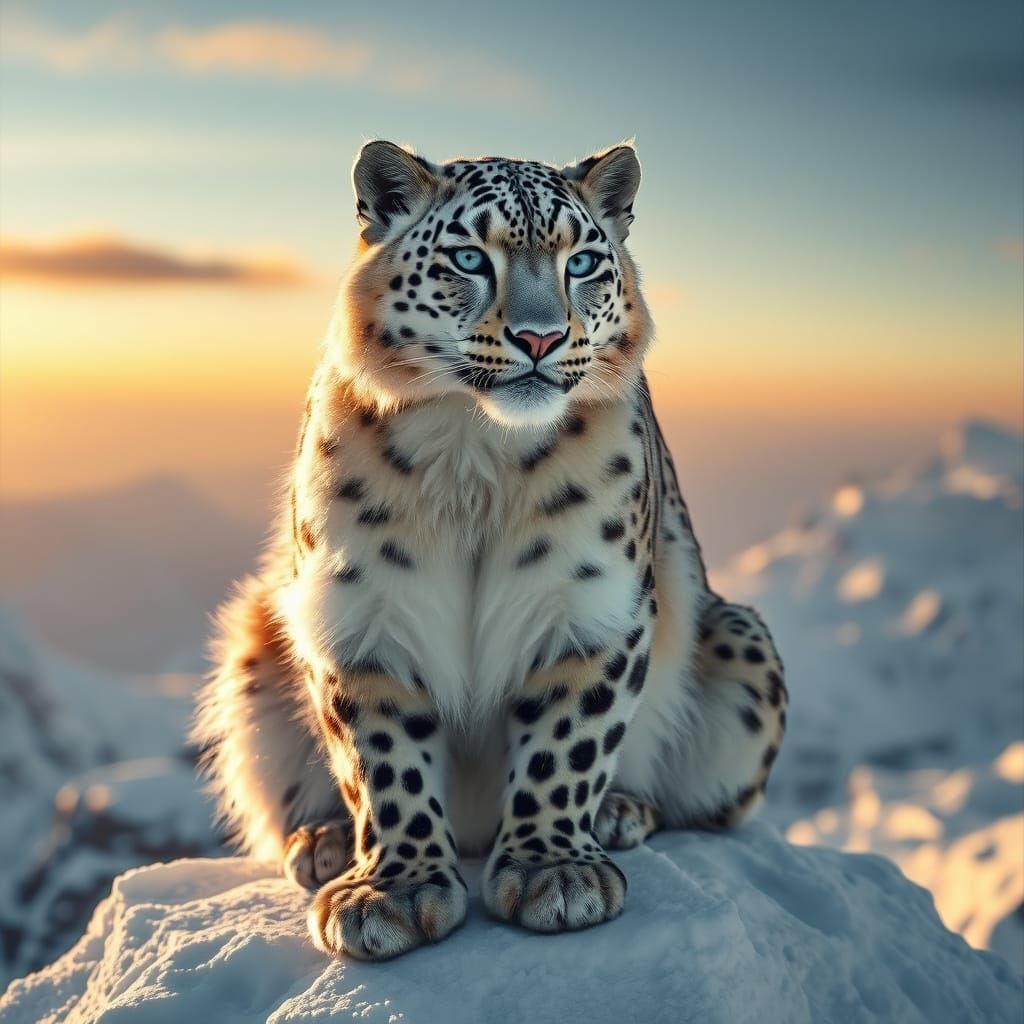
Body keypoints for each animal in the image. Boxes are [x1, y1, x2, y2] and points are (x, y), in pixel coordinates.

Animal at [192, 140, 788, 961]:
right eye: (470, 257)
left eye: (581, 262)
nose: (540, 338)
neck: (474, 454)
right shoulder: (363, 612)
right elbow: (381, 757)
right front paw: (395, 888)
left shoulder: (590, 605)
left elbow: (567, 742)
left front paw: (554, 872)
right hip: (253, 649)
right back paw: (321, 841)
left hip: (739, 645)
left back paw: (621, 812)